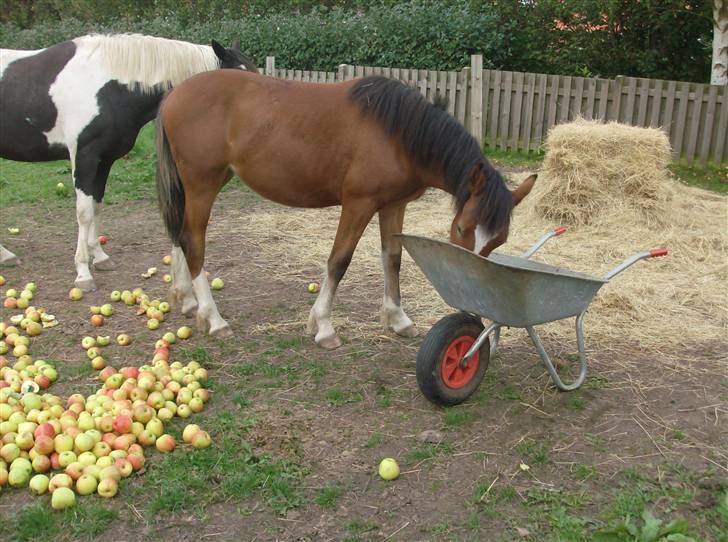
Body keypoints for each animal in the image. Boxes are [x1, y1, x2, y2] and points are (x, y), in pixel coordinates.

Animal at [0, 34, 258, 292]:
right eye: (238, 77)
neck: (107, 85)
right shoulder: (84, 157)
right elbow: (84, 212)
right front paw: (83, 273)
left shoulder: (104, 160)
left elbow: (96, 206)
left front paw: (100, 257)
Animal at [155, 71, 536, 348]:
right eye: (460, 229)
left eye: (498, 241)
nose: (473, 294)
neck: (399, 134)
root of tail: (174, 94)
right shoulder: (358, 204)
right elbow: (339, 261)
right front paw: (323, 326)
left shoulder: (393, 205)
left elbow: (392, 258)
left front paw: (398, 319)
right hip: (203, 183)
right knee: (194, 240)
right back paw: (213, 318)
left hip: (207, 183)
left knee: (180, 234)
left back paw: (186, 300)